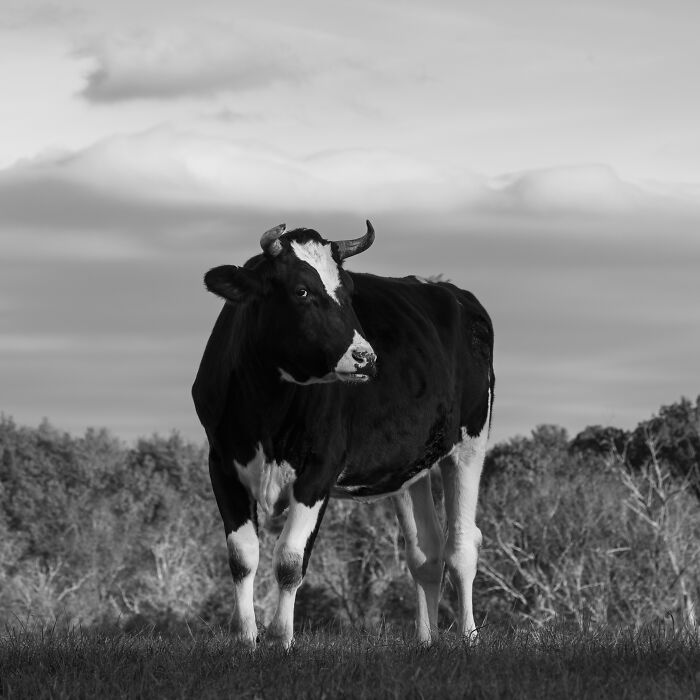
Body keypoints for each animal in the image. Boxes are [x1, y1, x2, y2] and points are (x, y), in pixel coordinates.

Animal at [192, 221, 494, 648]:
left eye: (349, 292)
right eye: (301, 290)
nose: (366, 356)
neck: (266, 408)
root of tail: (449, 290)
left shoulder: (319, 470)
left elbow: (289, 559)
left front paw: (281, 639)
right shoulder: (221, 463)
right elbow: (242, 557)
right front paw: (246, 638)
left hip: (470, 444)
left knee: (462, 546)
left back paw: (469, 638)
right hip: (411, 465)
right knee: (426, 552)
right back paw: (426, 640)